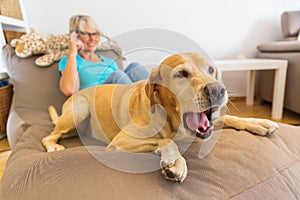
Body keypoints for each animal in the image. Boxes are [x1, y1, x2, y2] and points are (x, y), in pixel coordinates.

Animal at [41, 52, 276, 183]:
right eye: (181, 74)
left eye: (211, 70)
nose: (218, 90)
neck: (173, 120)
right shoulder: (120, 141)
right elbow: (166, 140)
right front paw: (175, 161)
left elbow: (230, 118)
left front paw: (259, 122)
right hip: (79, 110)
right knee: (48, 136)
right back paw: (53, 146)